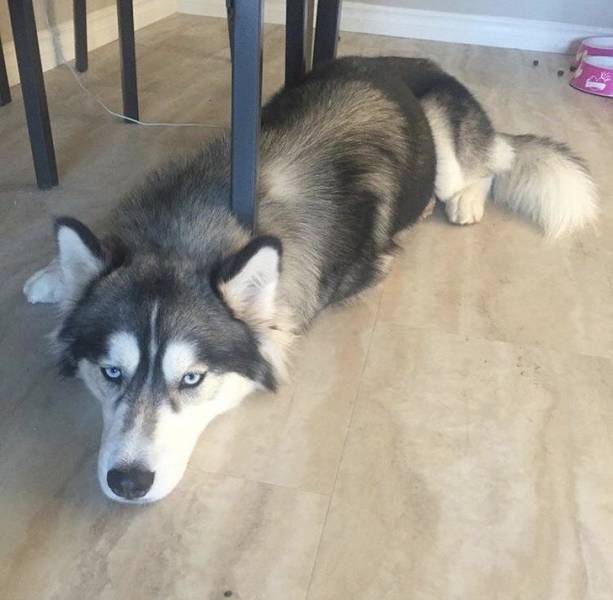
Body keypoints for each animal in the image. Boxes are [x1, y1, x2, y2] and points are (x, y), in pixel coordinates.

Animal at [22, 58, 592, 504]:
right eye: (110, 372)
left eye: (193, 379)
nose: (127, 482)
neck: (198, 226)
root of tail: (416, 61)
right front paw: (54, 276)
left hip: (443, 137)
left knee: (490, 167)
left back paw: (465, 201)